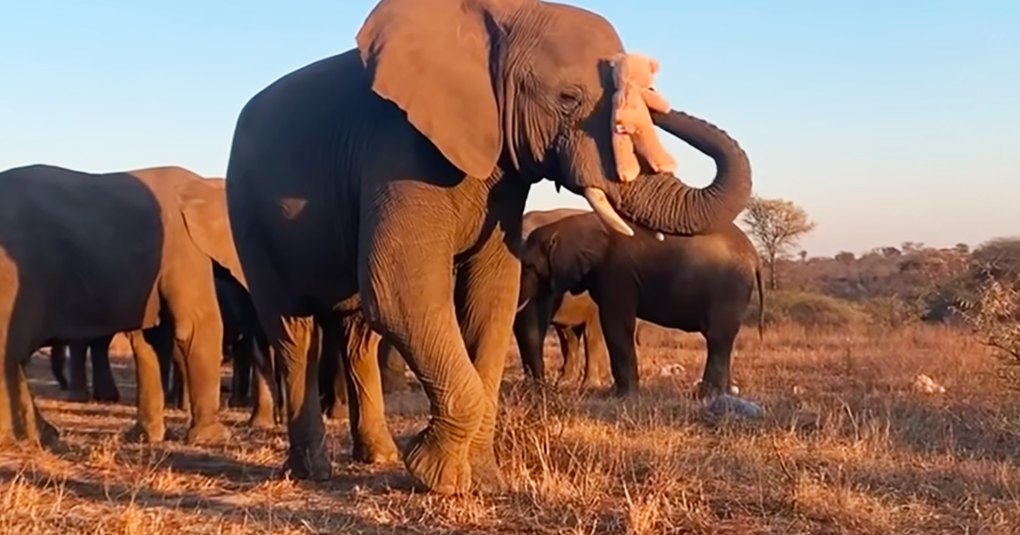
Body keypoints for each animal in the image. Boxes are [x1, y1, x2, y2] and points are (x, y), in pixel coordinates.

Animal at [0, 164, 246, 447]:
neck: (204, 185)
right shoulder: (183, 248)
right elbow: (195, 326)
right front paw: (213, 438)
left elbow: (149, 339)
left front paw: (146, 437)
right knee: (9, 351)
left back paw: (43, 435)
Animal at [518, 211, 765, 397]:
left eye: (528, 266)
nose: (543, 388)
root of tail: (756, 257)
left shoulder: (617, 272)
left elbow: (616, 323)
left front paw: (618, 396)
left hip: (729, 288)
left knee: (717, 338)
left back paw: (705, 395)